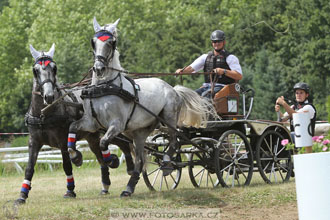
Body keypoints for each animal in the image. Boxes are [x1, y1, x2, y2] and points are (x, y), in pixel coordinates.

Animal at [15, 43, 134, 205]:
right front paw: (22, 195)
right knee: (101, 156)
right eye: (35, 70)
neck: (44, 114)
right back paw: (105, 185)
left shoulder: (62, 141)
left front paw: (70, 190)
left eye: (54, 68)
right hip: (93, 137)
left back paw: (128, 167)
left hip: (112, 129)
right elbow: (29, 168)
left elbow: (67, 164)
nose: (49, 96)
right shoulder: (34, 141)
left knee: (125, 144)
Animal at [67, 16, 217, 196]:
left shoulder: (116, 125)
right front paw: (75, 157)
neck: (105, 87)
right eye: (94, 42)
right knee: (140, 158)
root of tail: (173, 88)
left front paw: (112, 160)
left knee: (174, 141)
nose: (99, 68)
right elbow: (72, 129)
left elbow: (103, 143)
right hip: (139, 132)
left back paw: (167, 164)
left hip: (168, 119)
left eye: (111, 42)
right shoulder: (91, 122)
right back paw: (129, 188)